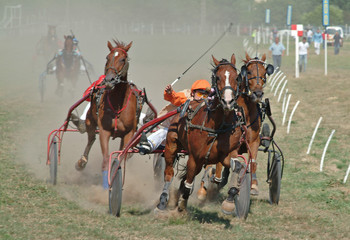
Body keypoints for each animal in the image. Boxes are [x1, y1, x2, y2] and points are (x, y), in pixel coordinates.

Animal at [74, 39, 144, 189]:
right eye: (108, 58)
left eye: (123, 59)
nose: (110, 79)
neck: (118, 104)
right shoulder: (104, 131)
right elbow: (106, 158)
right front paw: (106, 185)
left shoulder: (129, 133)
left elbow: (121, 156)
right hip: (90, 121)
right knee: (91, 139)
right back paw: (82, 162)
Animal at [156, 54, 249, 216]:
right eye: (217, 77)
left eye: (236, 77)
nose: (228, 101)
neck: (217, 126)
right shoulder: (195, 157)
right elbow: (188, 182)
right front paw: (181, 206)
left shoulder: (226, 154)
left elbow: (237, 165)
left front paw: (229, 201)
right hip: (171, 145)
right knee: (169, 172)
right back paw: (163, 201)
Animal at [197, 53, 274, 200]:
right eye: (248, 72)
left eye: (264, 73)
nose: (258, 94)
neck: (246, 113)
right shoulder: (231, 145)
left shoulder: (253, 141)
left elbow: (252, 161)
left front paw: (253, 186)